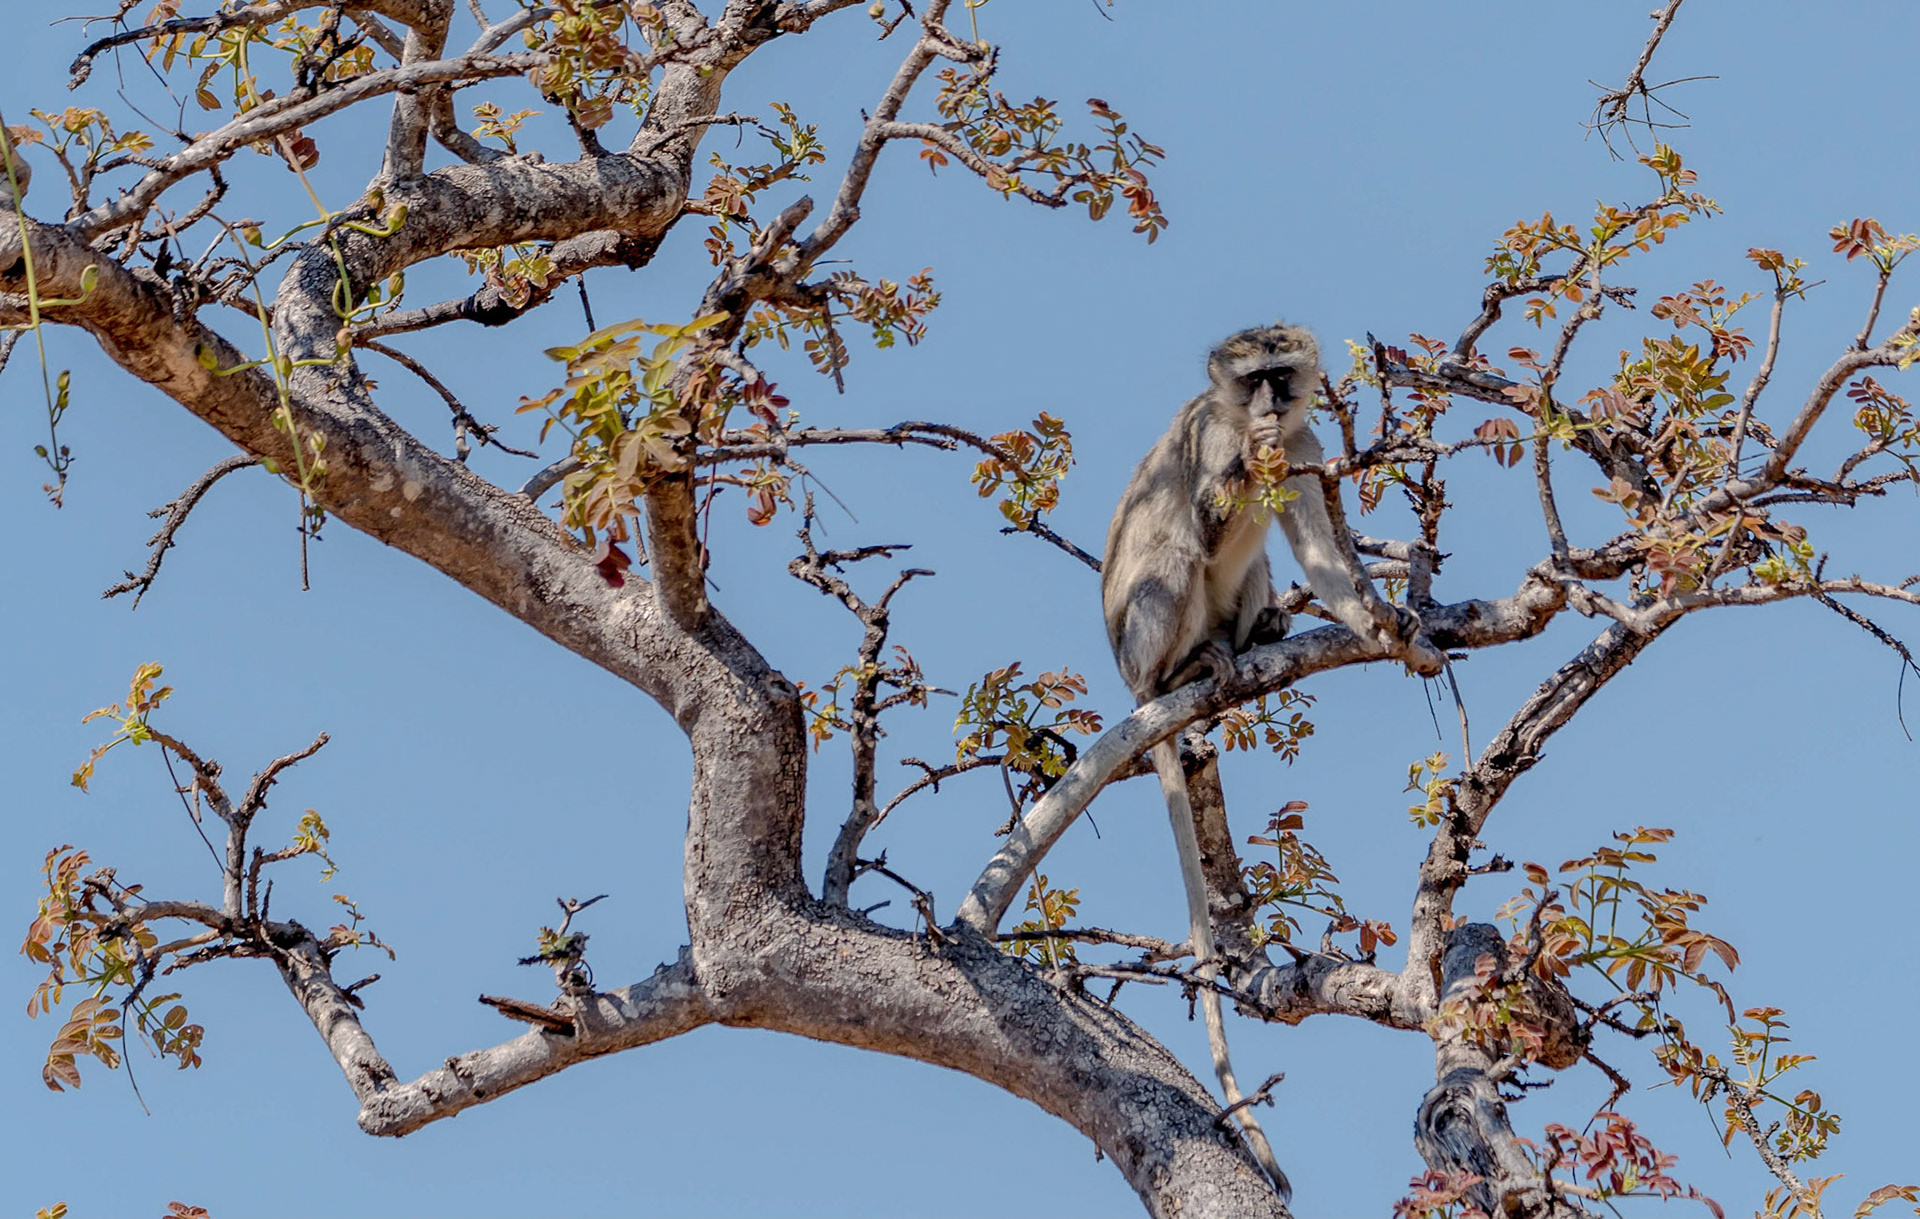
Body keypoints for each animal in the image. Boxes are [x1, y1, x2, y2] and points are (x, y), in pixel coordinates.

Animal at [1101, 322, 1418, 1200]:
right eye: (1251, 384)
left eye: (1283, 375)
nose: (1272, 406)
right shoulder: (1212, 434)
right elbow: (1208, 504)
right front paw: (1250, 459)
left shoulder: (1310, 447)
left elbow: (1320, 554)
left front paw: (1381, 624)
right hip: (1142, 635)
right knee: (1174, 550)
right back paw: (1183, 671)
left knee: (1257, 567)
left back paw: (1261, 633)